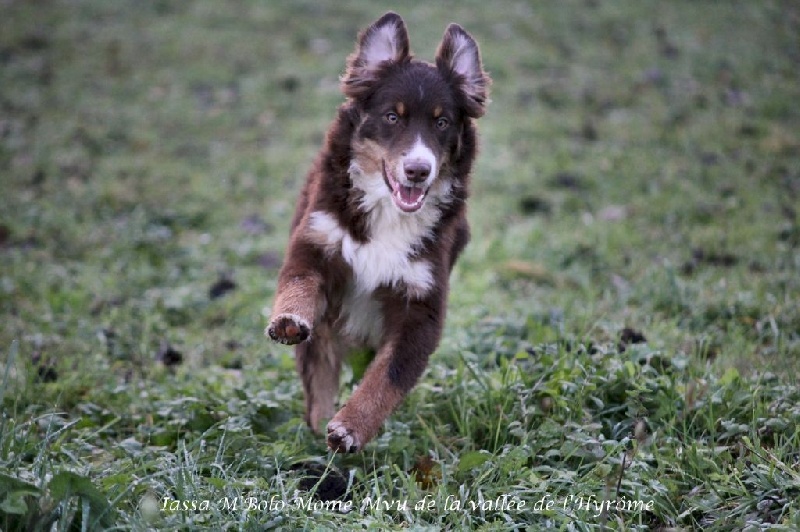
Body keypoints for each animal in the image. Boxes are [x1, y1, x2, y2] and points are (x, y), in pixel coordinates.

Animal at [266, 11, 488, 454]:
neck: (389, 213)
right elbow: (299, 281)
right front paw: (289, 320)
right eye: (392, 116)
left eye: (442, 122)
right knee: (319, 382)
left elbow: (388, 377)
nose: (418, 170)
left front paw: (350, 427)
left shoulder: (421, 305)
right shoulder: (317, 241)